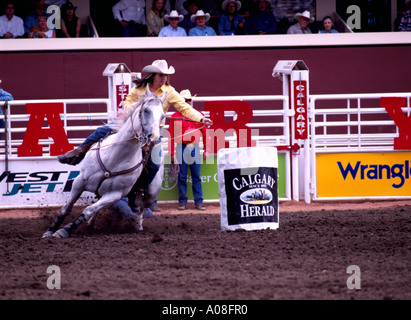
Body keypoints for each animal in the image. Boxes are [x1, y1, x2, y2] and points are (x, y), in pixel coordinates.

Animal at [43, 87, 166, 238]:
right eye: (146, 110)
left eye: (162, 116)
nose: (153, 138)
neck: (115, 156)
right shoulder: (80, 181)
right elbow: (67, 208)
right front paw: (50, 230)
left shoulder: (114, 195)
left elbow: (88, 210)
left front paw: (64, 230)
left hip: (150, 194)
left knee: (140, 209)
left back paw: (138, 226)